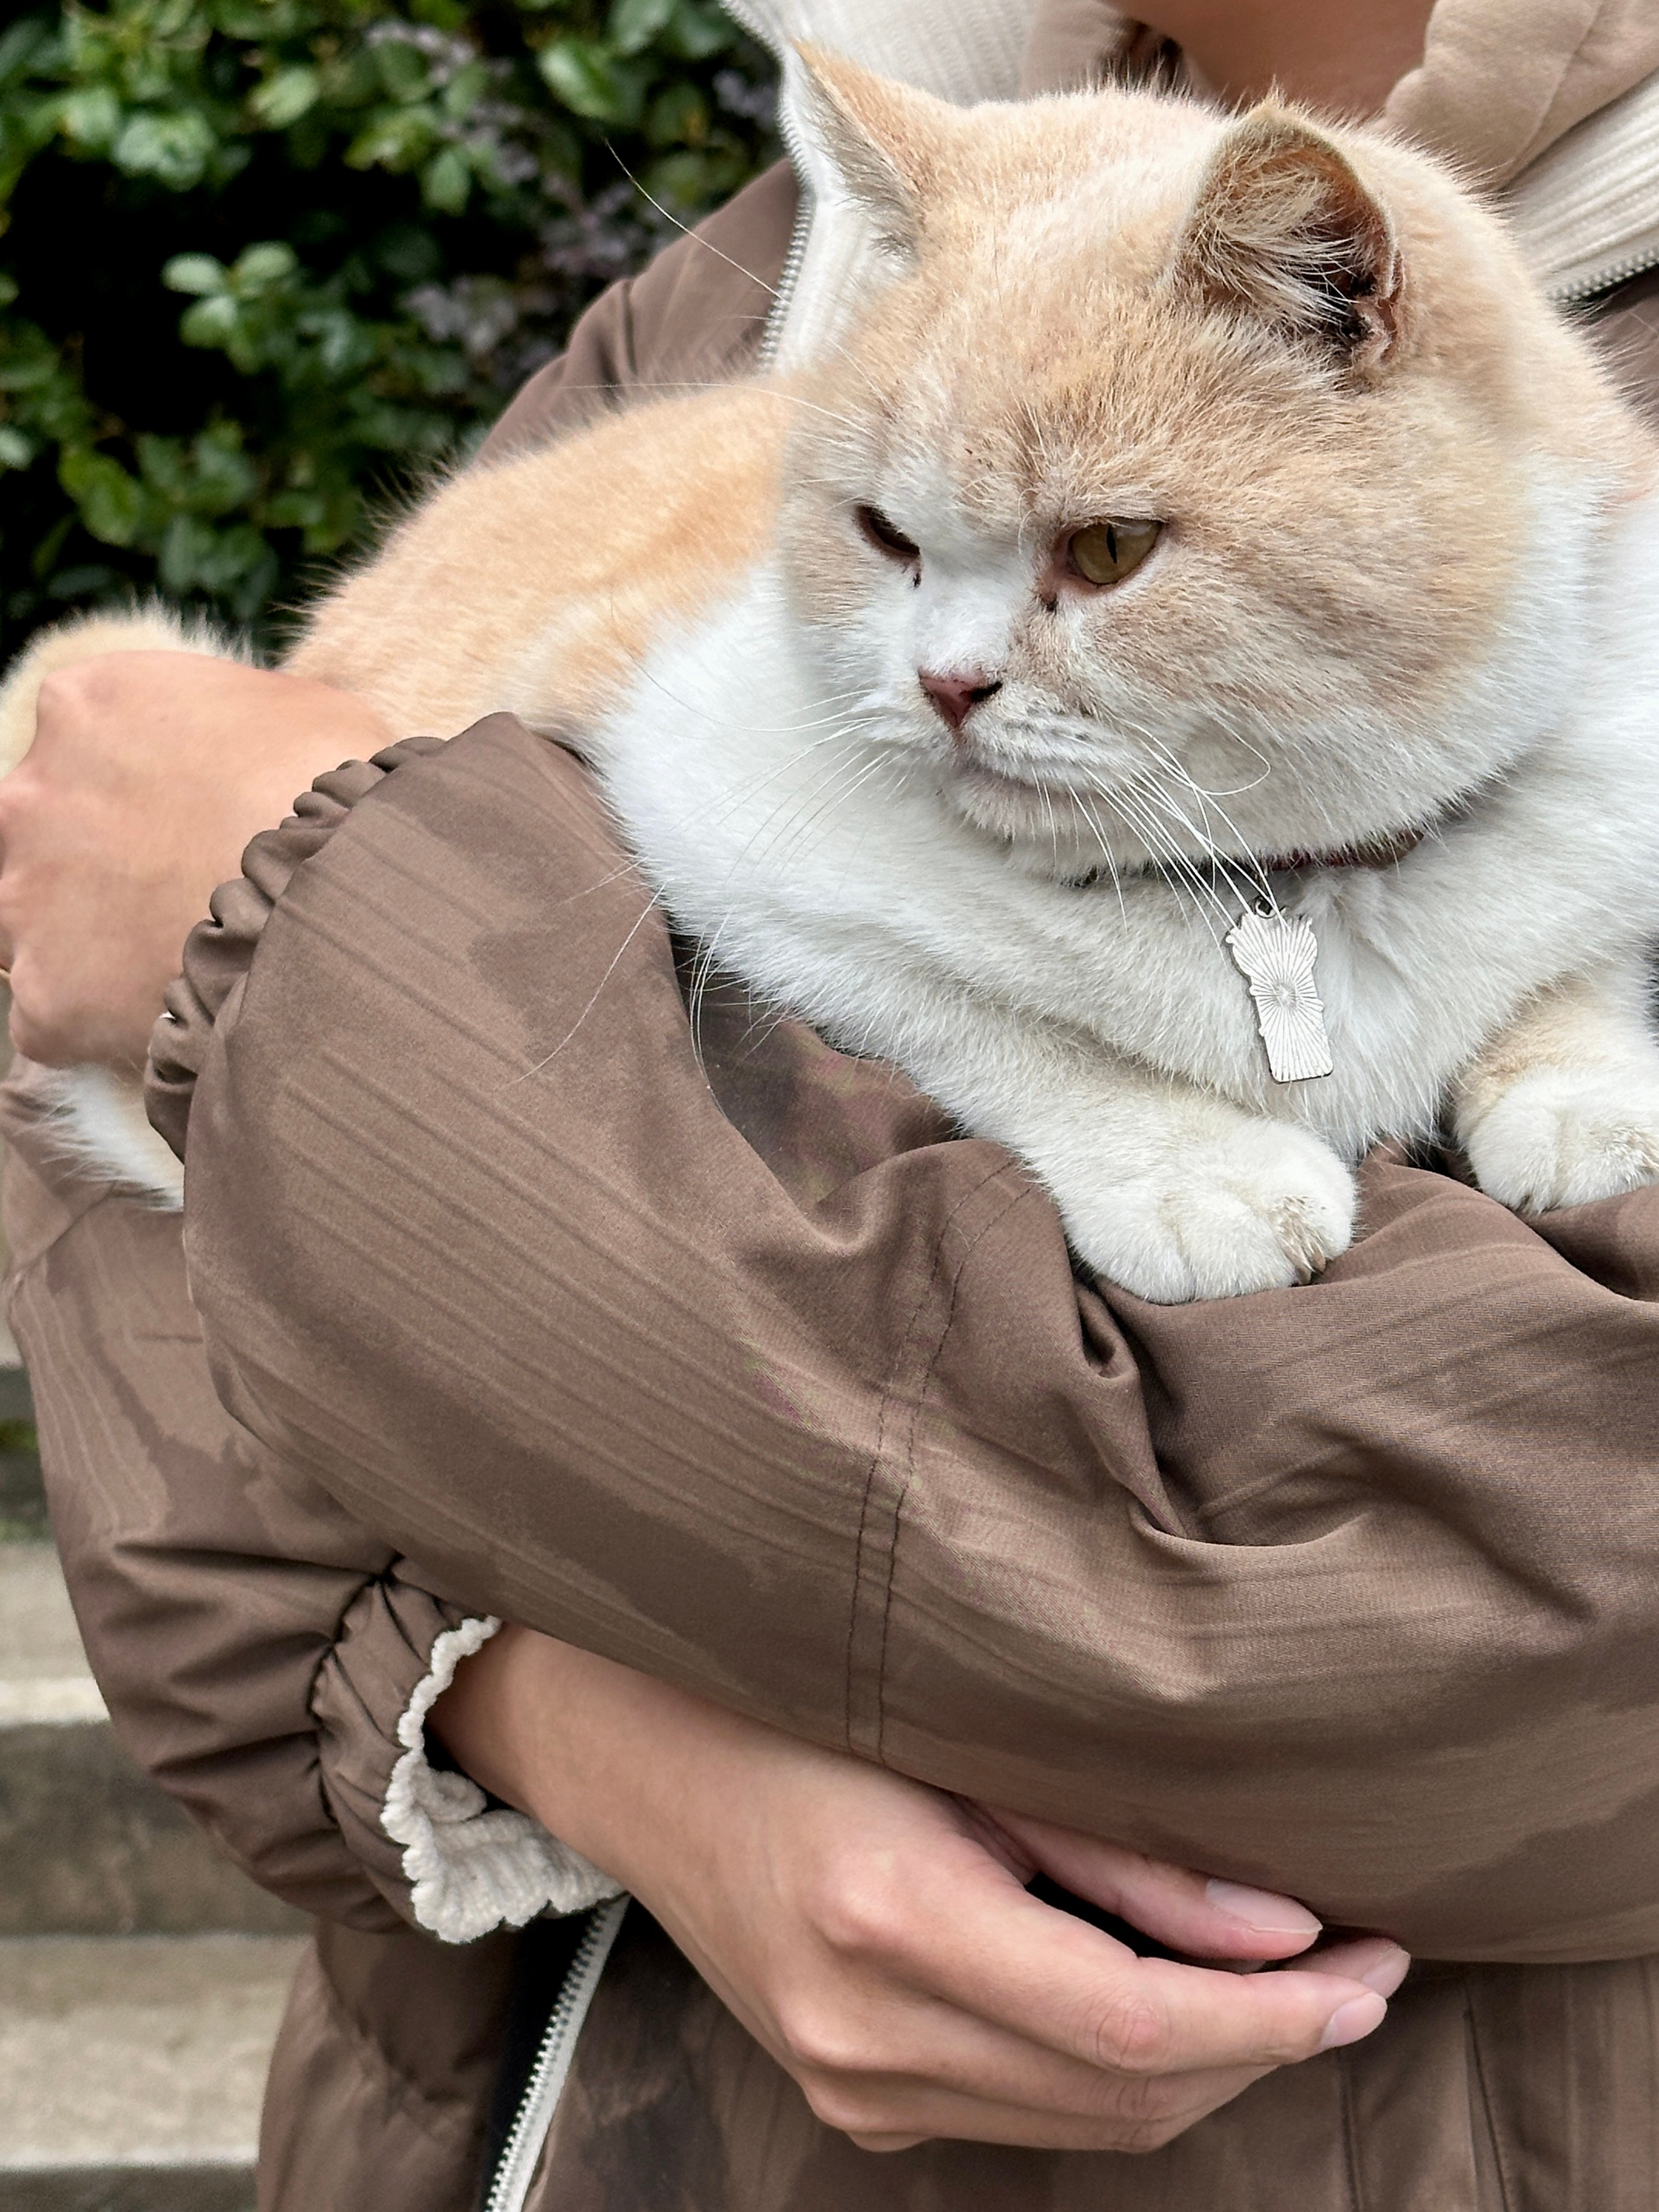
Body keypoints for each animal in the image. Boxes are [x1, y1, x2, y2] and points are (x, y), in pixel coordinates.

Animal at [9, 56, 1659, 1291]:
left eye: (1108, 550)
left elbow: (1571, 955)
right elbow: (1006, 1034)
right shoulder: (727, 847)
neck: (1290, 901)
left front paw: (1583, 1089)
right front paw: (1195, 1166)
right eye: (883, 534)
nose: (943, 686)